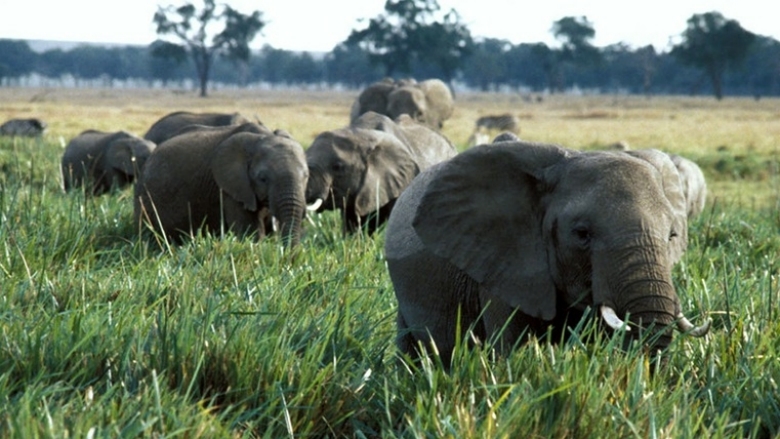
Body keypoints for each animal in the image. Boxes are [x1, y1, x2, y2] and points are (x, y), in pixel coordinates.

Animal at [136, 123, 312, 248]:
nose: (290, 259)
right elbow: (251, 231)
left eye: (306, 176)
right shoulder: (230, 188)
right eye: (263, 179)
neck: (262, 136)